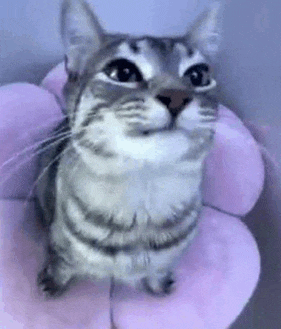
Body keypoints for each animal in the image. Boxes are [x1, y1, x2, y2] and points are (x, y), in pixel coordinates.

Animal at [36, 0, 220, 298]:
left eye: (198, 75)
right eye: (122, 72)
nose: (177, 96)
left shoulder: (169, 258)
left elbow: (159, 270)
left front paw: (159, 285)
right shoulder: (60, 246)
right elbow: (60, 265)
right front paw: (52, 283)